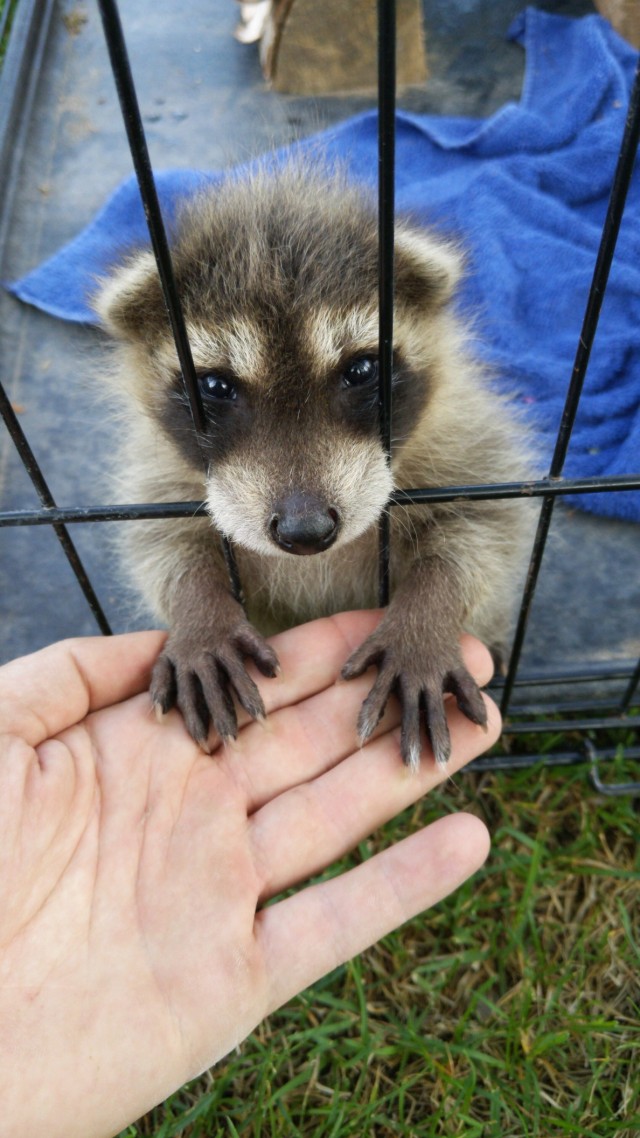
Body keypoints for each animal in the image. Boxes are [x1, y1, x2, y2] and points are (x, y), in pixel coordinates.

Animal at [95, 165, 532, 769]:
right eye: (216, 386)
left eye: (361, 369)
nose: (306, 531)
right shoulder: (160, 467)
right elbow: (162, 542)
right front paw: (199, 613)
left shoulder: (463, 434)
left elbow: (484, 527)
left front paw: (424, 618)